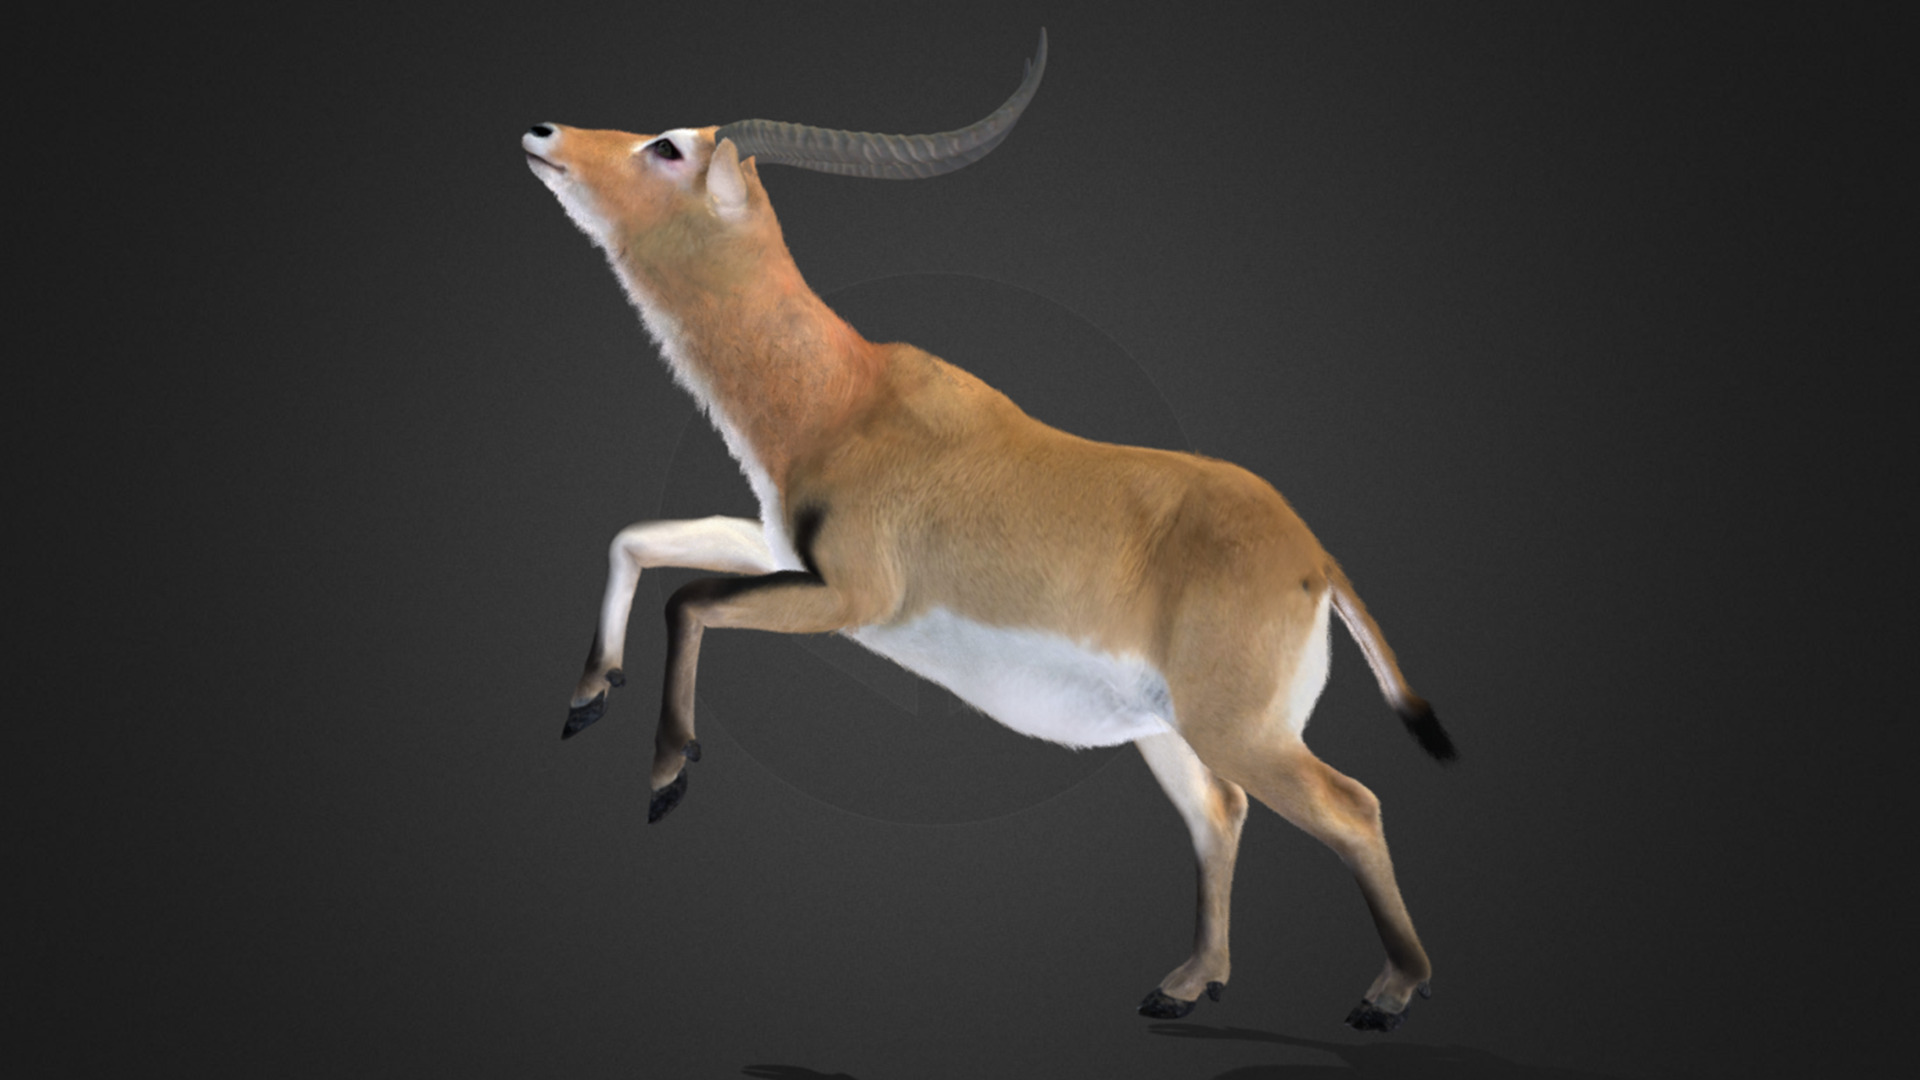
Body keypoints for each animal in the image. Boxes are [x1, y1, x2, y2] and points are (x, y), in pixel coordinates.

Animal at [521, 30, 1456, 1032]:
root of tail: (1312, 556)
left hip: (1239, 727)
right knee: (1220, 811)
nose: (543, 132)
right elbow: (636, 541)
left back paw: (1388, 996)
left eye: (667, 147)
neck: (841, 401)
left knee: (1352, 806)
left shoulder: (851, 598)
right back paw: (1185, 986)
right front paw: (586, 699)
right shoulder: (779, 553)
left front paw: (668, 776)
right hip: (1167, 728)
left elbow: (690, 601)